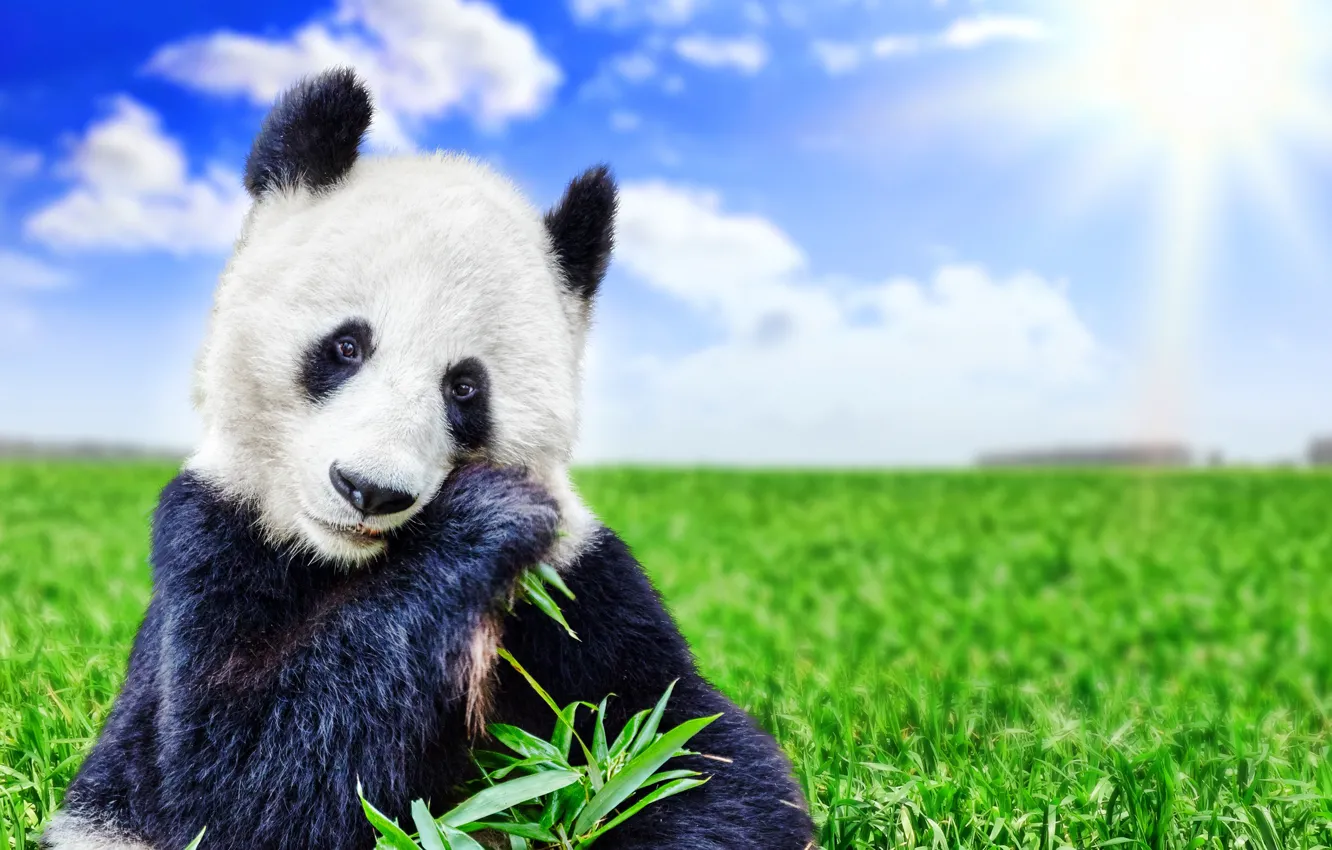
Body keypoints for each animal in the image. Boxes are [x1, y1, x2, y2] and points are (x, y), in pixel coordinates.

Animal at [43, 69, 815, 850]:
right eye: (346, 346)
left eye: (465, 387)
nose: (368, 490)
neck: (350, 563)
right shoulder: (212, 539)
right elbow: (231, 782)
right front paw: (484, 518)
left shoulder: (576, 580)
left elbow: (686, 750)